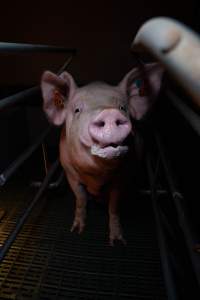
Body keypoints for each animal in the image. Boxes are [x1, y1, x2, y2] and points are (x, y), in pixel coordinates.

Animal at [41, 63, 163, 246]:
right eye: (77, 110)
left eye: (122, 108)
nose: (110, 113)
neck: (97, 174)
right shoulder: (70, 173)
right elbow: (80, 199)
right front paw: (76, 230)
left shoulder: (122, 178)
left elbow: (114, 207)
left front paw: (117, 242)